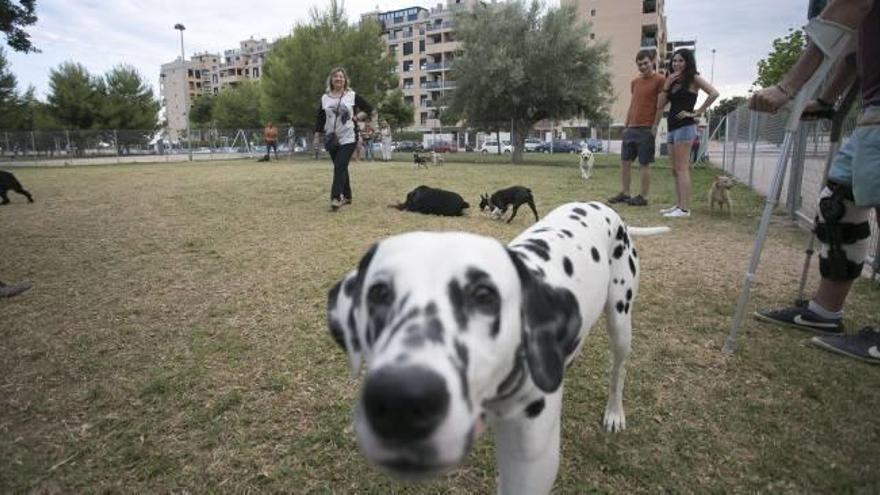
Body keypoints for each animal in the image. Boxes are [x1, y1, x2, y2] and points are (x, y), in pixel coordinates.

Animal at [328, 202, 668, 495]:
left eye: (484, 295)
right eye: (378, 293)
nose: (401, 400)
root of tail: (608, 210)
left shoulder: (531, 465)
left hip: (621, 322)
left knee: (618, 371)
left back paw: (614, 412)